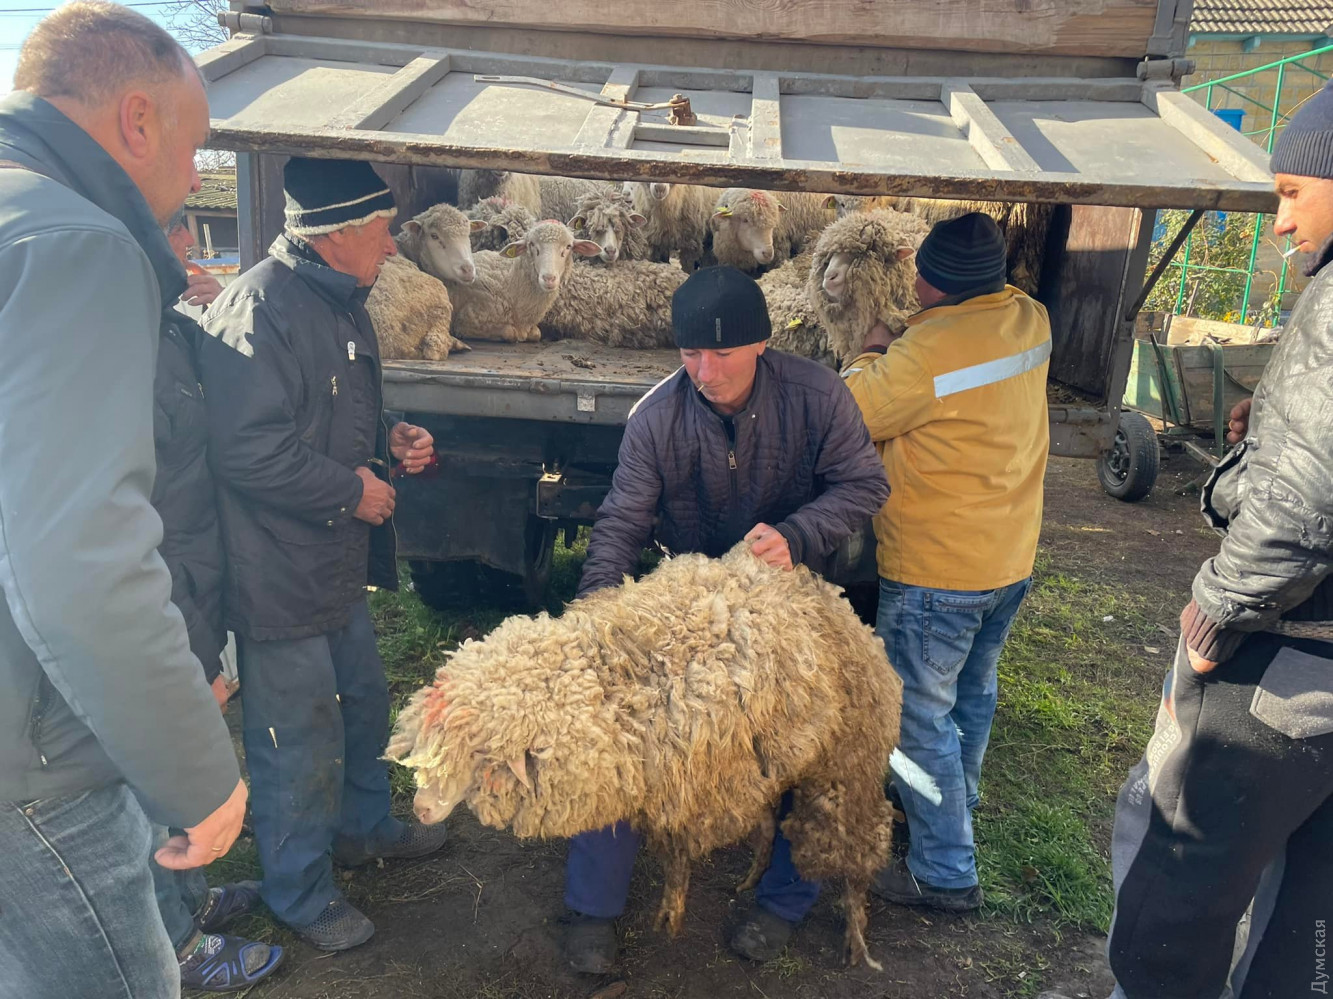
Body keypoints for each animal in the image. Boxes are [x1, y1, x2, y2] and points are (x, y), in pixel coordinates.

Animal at [387, 541, 906, 969]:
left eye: (479, 756)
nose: (421, 808)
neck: (608, 687)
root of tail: (828, 595)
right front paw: (663, 911)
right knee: (768, 824)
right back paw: (751, 880)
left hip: (847, 764)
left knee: (852, 847)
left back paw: (852, 937)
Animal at [447, 220, 601, 343]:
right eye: (532, 244)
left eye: (569, 246)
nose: (548, 278)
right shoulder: (467, 321)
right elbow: (510, 333)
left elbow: (537, 334)